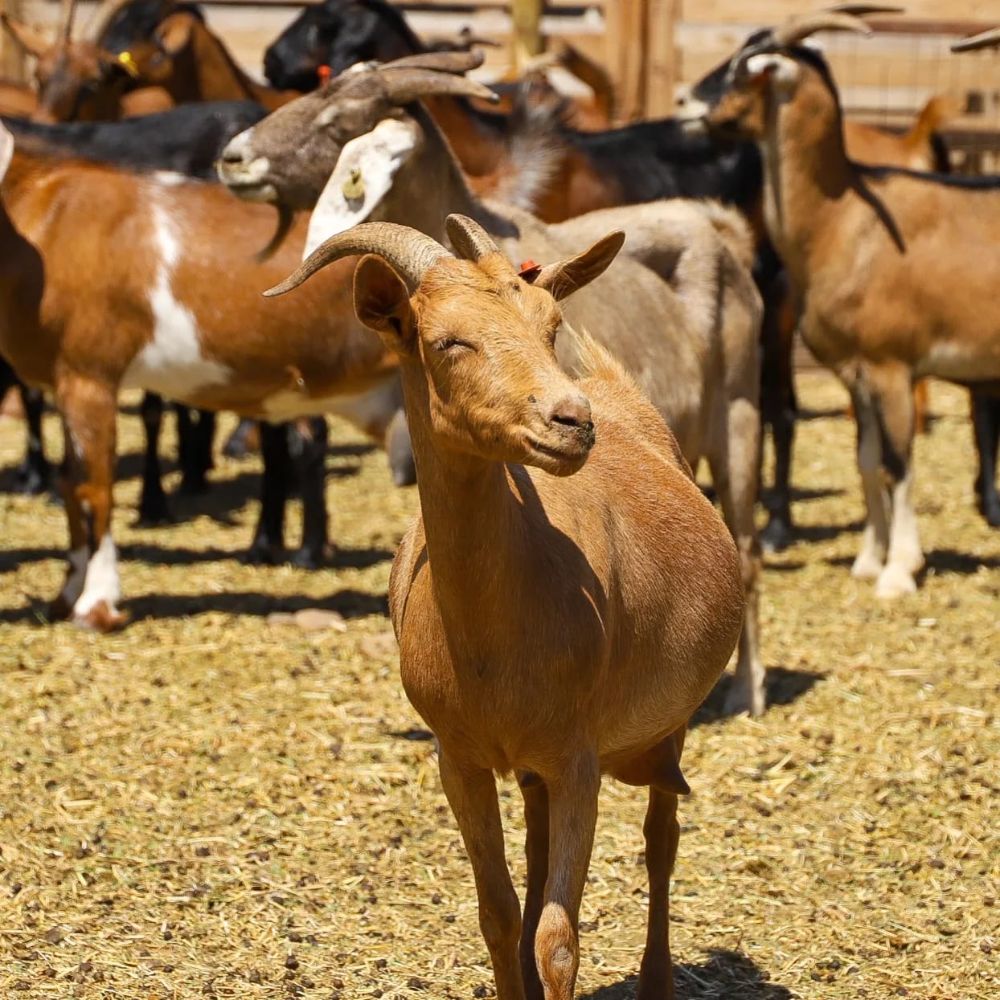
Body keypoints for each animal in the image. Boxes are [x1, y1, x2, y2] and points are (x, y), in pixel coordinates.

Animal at [220, 52, 768, 716]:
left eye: (341, 118)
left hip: (740, 417)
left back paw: (747, 690)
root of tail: (723, 229)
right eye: (448, 340)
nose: (233, 157)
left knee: (747, 551)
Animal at [268, 215, 745, 1000]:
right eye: (447, 341)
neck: (491, 635)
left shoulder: (579, 757)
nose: (571, 421)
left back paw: (657, 978)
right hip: (534, 760)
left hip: (668, 720)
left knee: (661, 838)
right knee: (540, 838)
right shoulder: (457, 755)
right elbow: (495, 908)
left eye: (551, 326)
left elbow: (559, 937)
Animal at [690, 8, 1000, 597]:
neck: (846, 223)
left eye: (746, 68)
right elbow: (867, 461)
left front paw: (900, 571)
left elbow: (900, 464)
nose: (692, 106)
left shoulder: (893, 365)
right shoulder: (856, 374)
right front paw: (869, 560)